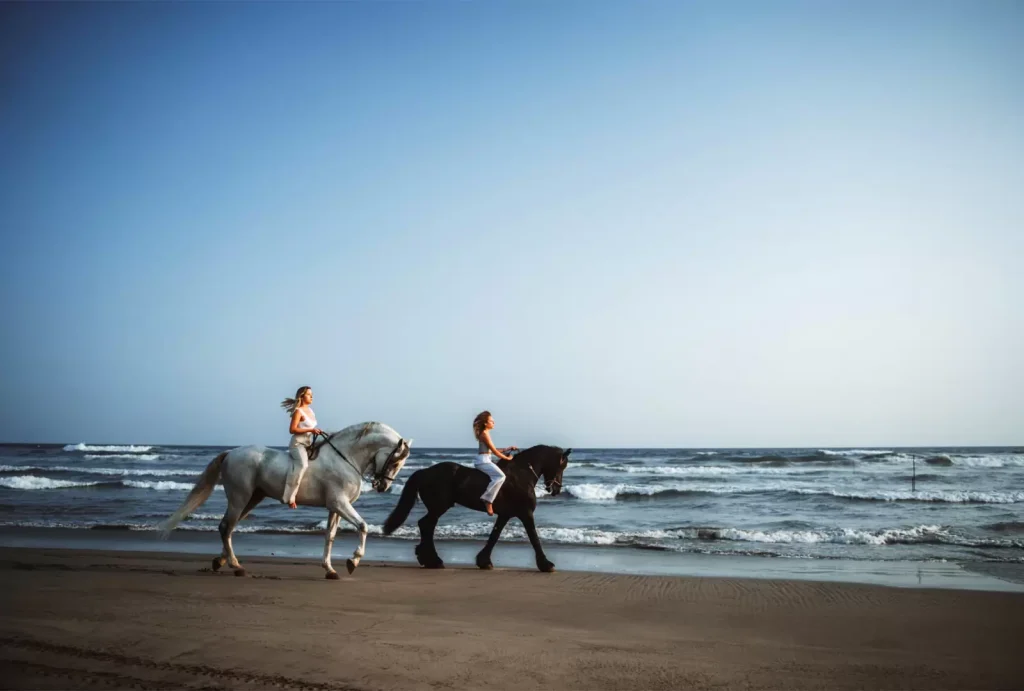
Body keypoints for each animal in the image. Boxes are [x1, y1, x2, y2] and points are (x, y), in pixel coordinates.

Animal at [159, 421, 407, 577]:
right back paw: (236, 566)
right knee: (226, 526)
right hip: (240, 497)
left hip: (252, 498)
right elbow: (363, 526)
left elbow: (330, 537)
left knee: (228, 527)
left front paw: (330, 570)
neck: (344, 458)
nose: (383, 486)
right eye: (395, 461)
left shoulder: (335, 508)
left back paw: (221, 561)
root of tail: (231, 453)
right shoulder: (339, 504)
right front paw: (352, 561)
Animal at [382, 448, 569, 573]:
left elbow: (494, 535)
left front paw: (484, 561)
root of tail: (424, 472)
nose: (556, 489)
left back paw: (427, 558)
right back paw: (434, 560)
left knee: (426, 525)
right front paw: (546, 565)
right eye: (562, 466)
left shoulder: (505, 515)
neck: (522, 475)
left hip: (437, 508)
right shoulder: (526, 513)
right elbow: (534, 538)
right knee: (426, 525)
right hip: (439, 507)